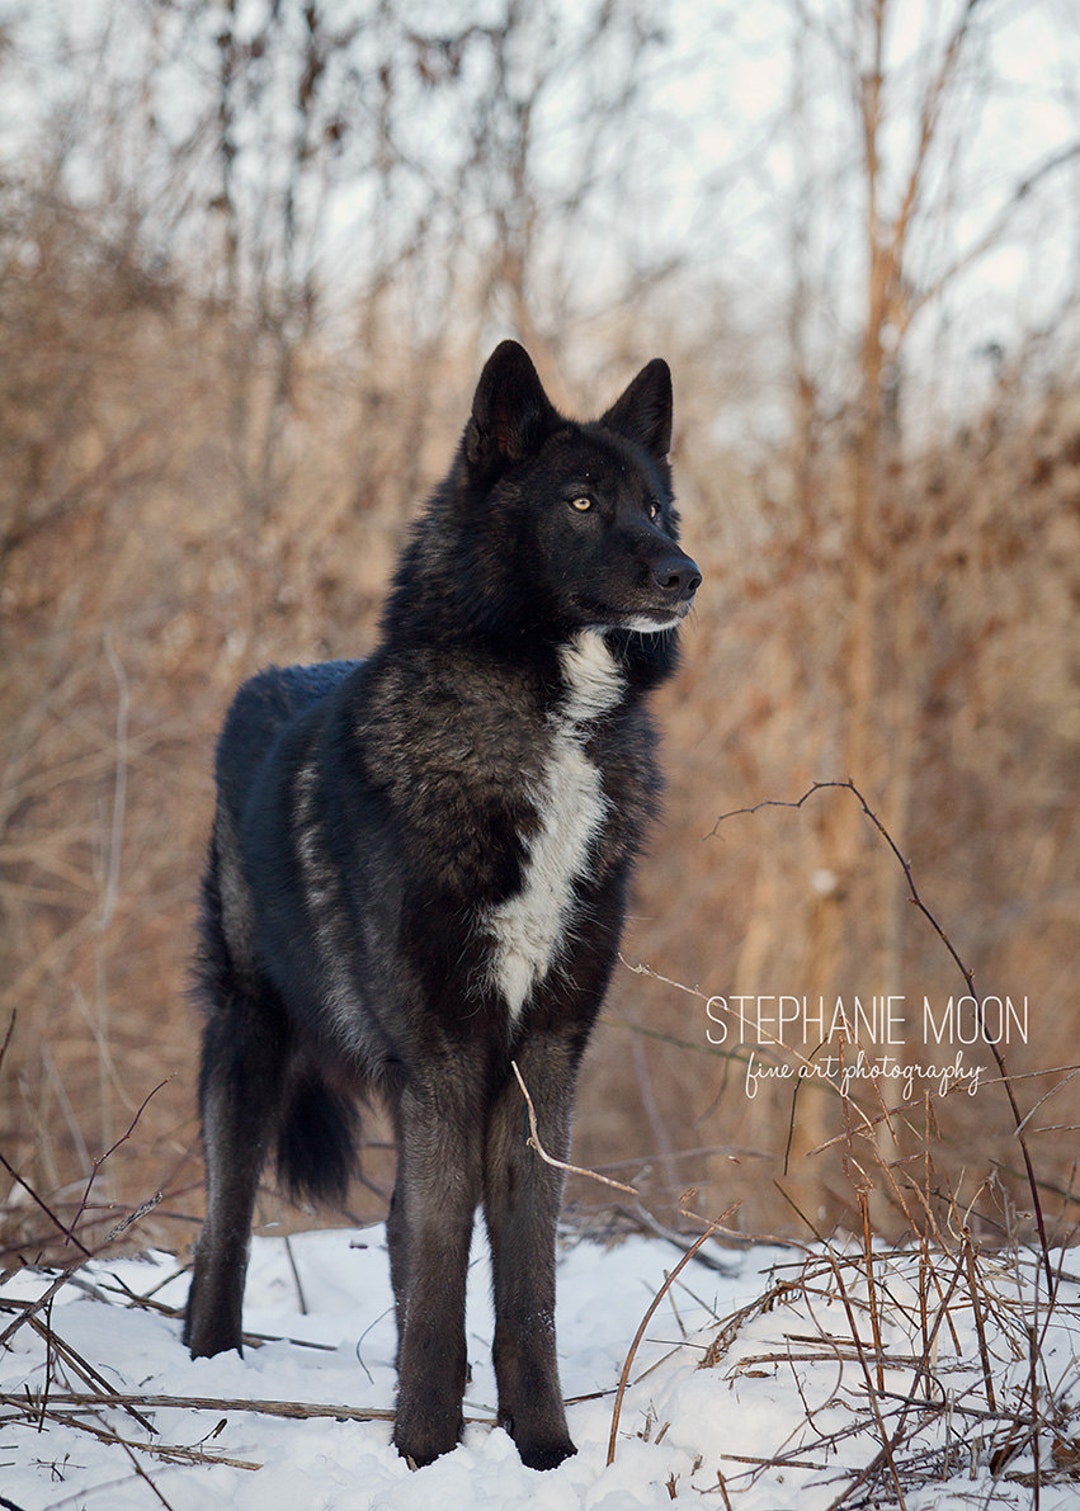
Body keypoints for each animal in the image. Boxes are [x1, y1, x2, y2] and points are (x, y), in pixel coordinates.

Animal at [185, 339, 700, 1462]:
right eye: (583, 501)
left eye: (659, 506)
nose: (686, 574)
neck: (547, 728)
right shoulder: (448, 1052)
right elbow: (438, 1260)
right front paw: (424, 1446)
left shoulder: (543, 1053)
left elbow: (525, 1274)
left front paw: (541, 1447)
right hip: (249, 1046)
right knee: (225, 1222)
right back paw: (206, 1364)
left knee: (394, 1220)